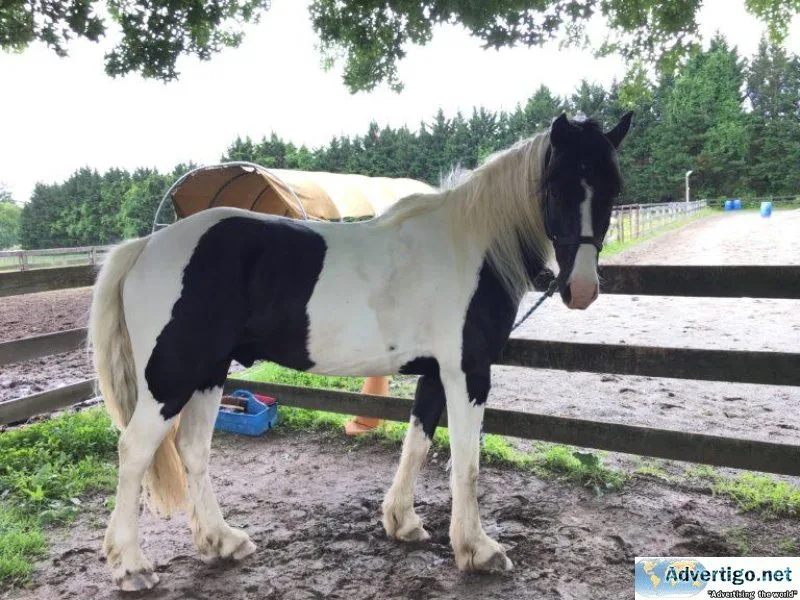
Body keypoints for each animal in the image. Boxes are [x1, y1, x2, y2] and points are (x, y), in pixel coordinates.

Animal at [88, 112, 632, 591]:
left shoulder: (436, 373)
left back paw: (223, 542)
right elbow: (467, 461)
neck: (472, 249)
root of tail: (145, 247)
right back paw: (131, 566)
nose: (581, 289)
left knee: (193, 449)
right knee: (134, 452)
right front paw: (478, 550)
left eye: (613, 187)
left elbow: (418, 443)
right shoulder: (468, 373)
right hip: (172, 379)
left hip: (209, 372)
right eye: (556, 186)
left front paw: (403, 523)